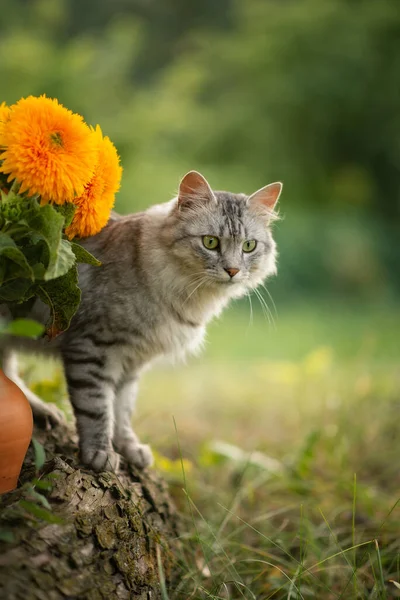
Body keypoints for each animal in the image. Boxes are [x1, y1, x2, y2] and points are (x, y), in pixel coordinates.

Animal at [0, 171, 282, 472]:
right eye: (210, 242)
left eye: (249, 246)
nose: (233, 270)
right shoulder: (93, 348)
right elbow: (97, 407)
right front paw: (99, 452)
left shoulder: (132, 361)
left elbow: (122, 410)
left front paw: (128, 447)